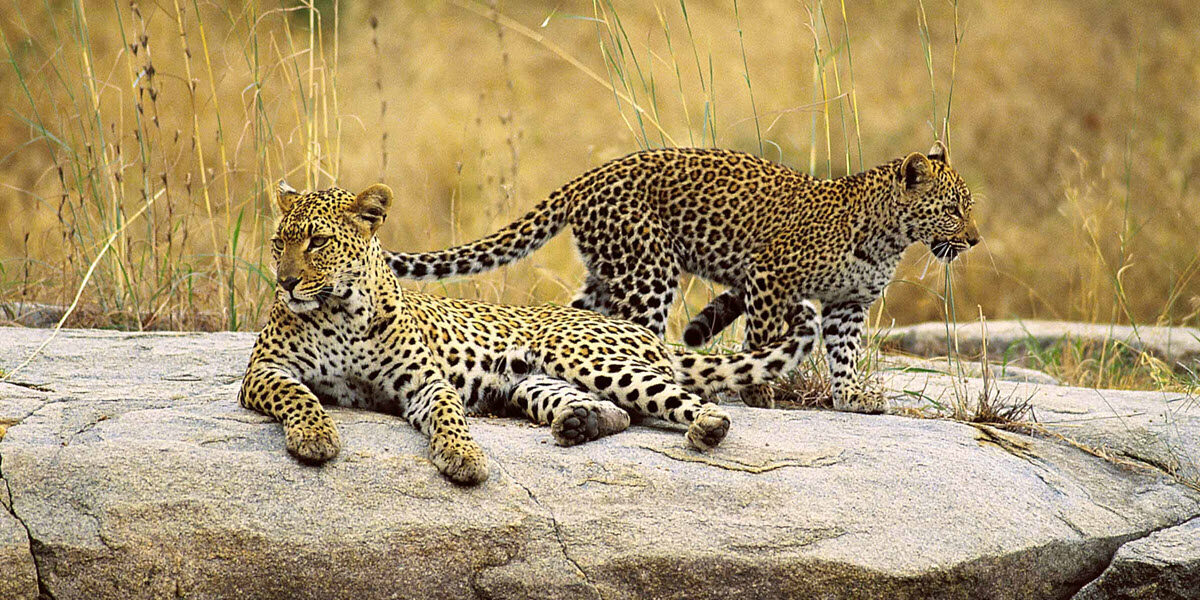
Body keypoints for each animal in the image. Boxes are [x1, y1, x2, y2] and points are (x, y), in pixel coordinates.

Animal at [241, 180, 825, 484]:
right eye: (279, 241)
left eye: (317, 242)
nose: (285, 281)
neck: (342, 309)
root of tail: (644, 333)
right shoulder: (264, 371)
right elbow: (300, 398)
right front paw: (314, 437)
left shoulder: (427, 383)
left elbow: (450, 417)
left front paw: (464, 457)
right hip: (533, 382)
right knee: (617, 412)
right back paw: (578, 423)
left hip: (586, 355)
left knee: (687, 401)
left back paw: (706, 428)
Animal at [388, 141, 979, 412]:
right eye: (952, 210)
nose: (974, 240)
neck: (890, 236)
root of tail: (588, 177)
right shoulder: (769, 277)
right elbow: (762, 336)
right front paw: (759, 391)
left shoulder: (848, 305)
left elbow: (847, 352)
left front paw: (852, 396)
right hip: (648, 272)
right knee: (648, 341)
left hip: (610, 274)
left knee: (579, 321)